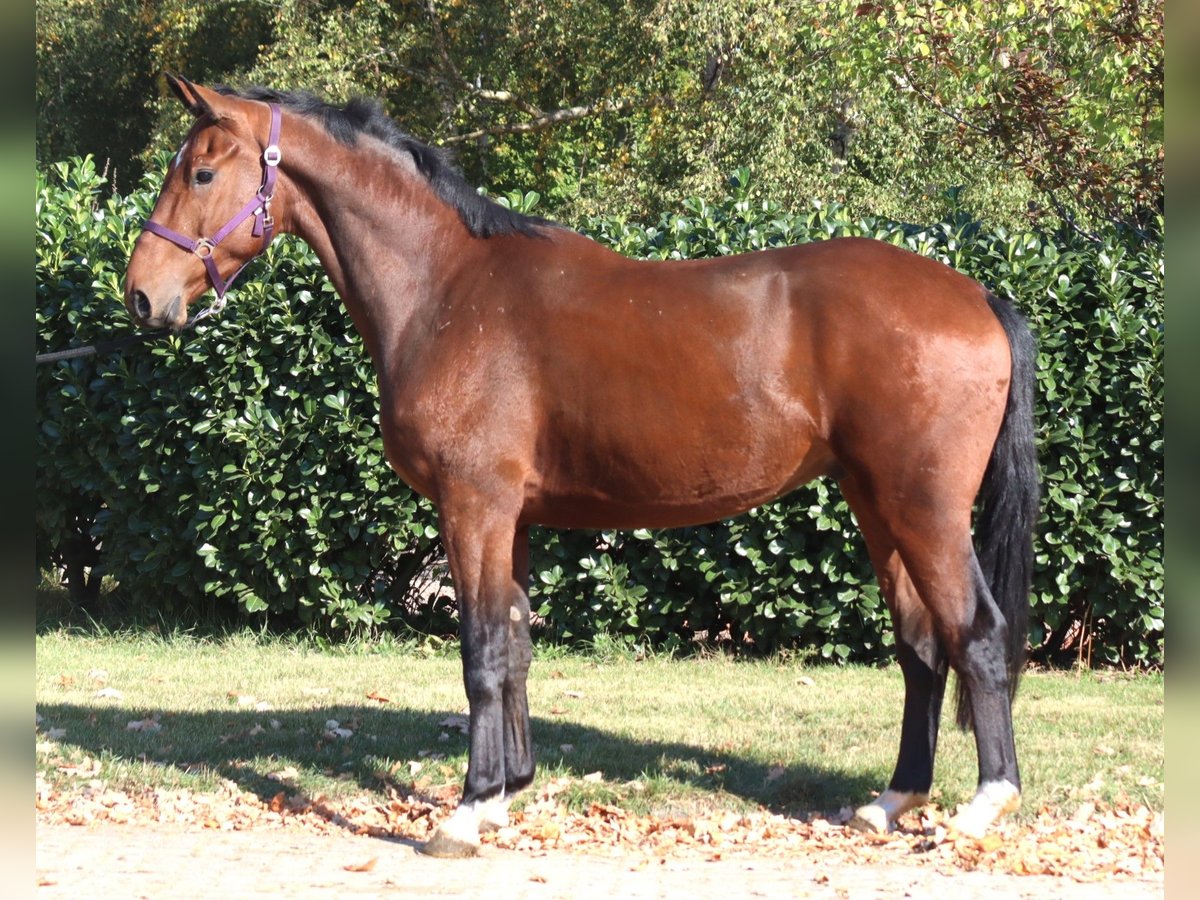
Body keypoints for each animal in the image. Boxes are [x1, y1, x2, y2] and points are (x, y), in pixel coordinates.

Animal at [124, 76, 1039, 857]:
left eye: (202, 170)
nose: (140, 296)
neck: (446, 288)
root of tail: (977, 296)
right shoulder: (513, 517)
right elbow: (515, 644)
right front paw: (504, 793)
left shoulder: (473, 506)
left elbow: (480, 649)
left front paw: (465, 814)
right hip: (874, 503)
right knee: (920, 645)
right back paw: (890, 803)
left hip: (924, 508)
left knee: (977, 634)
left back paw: (983, 806)